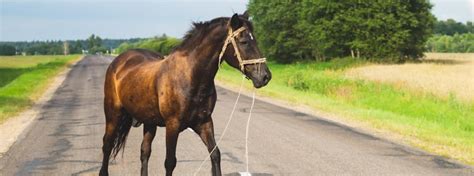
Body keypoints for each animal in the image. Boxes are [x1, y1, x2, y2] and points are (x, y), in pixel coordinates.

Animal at [99, 11, 270, 176]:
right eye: (244, 42)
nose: (265, 76)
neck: (190, 77)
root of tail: (118, 61)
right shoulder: (172, 125)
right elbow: (170, 162)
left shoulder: (204, 122)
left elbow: (215, 155)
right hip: (113, 114)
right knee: (107, 144)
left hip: (149, 122)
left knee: (144, 151)